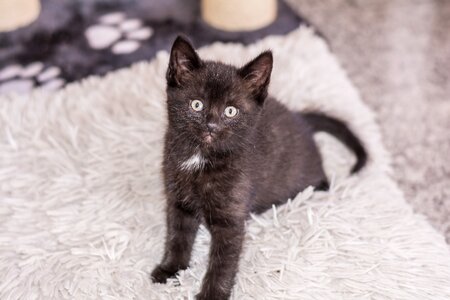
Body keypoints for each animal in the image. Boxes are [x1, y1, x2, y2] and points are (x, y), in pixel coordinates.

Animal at [151, 35, 366, 300]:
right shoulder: (178, 200)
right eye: (197, 105)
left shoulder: (231, 220)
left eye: (230, 111)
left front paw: (211, 294)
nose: (212, 126)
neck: (202, 158)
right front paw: (170, 269)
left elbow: (222, 262)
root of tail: (300, 119)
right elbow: (177, 237)